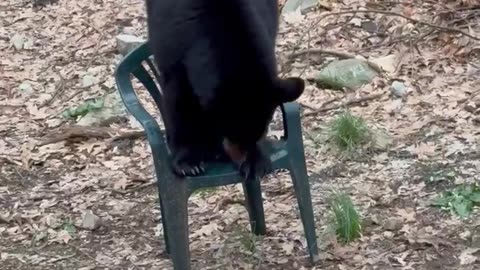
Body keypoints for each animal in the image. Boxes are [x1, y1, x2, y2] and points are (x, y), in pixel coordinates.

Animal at [145, 0, 304, 179]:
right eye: (233, 132)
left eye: (260, 133)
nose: (241, 158)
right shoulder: (173, 45)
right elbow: (179, 102)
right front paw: (187, 161)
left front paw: (255, 161)